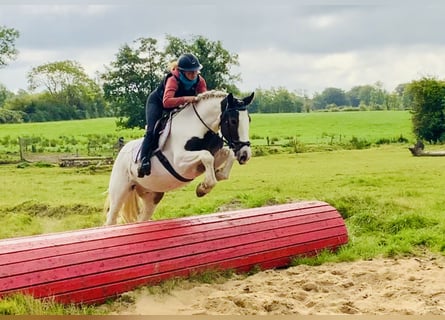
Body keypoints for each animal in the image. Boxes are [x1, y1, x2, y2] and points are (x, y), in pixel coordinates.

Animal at [103, 90, 253, 225]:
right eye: (233, 121)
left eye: (249, 120)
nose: (245, 155)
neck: (199, 128)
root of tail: (122, 151)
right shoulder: (180, 162)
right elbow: (206, 156)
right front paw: (203, 188)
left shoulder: (216, 155)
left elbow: (228, 155)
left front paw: (218, 175)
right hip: (119, 191)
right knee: (111, 219)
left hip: (152, 196)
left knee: (142, 218)